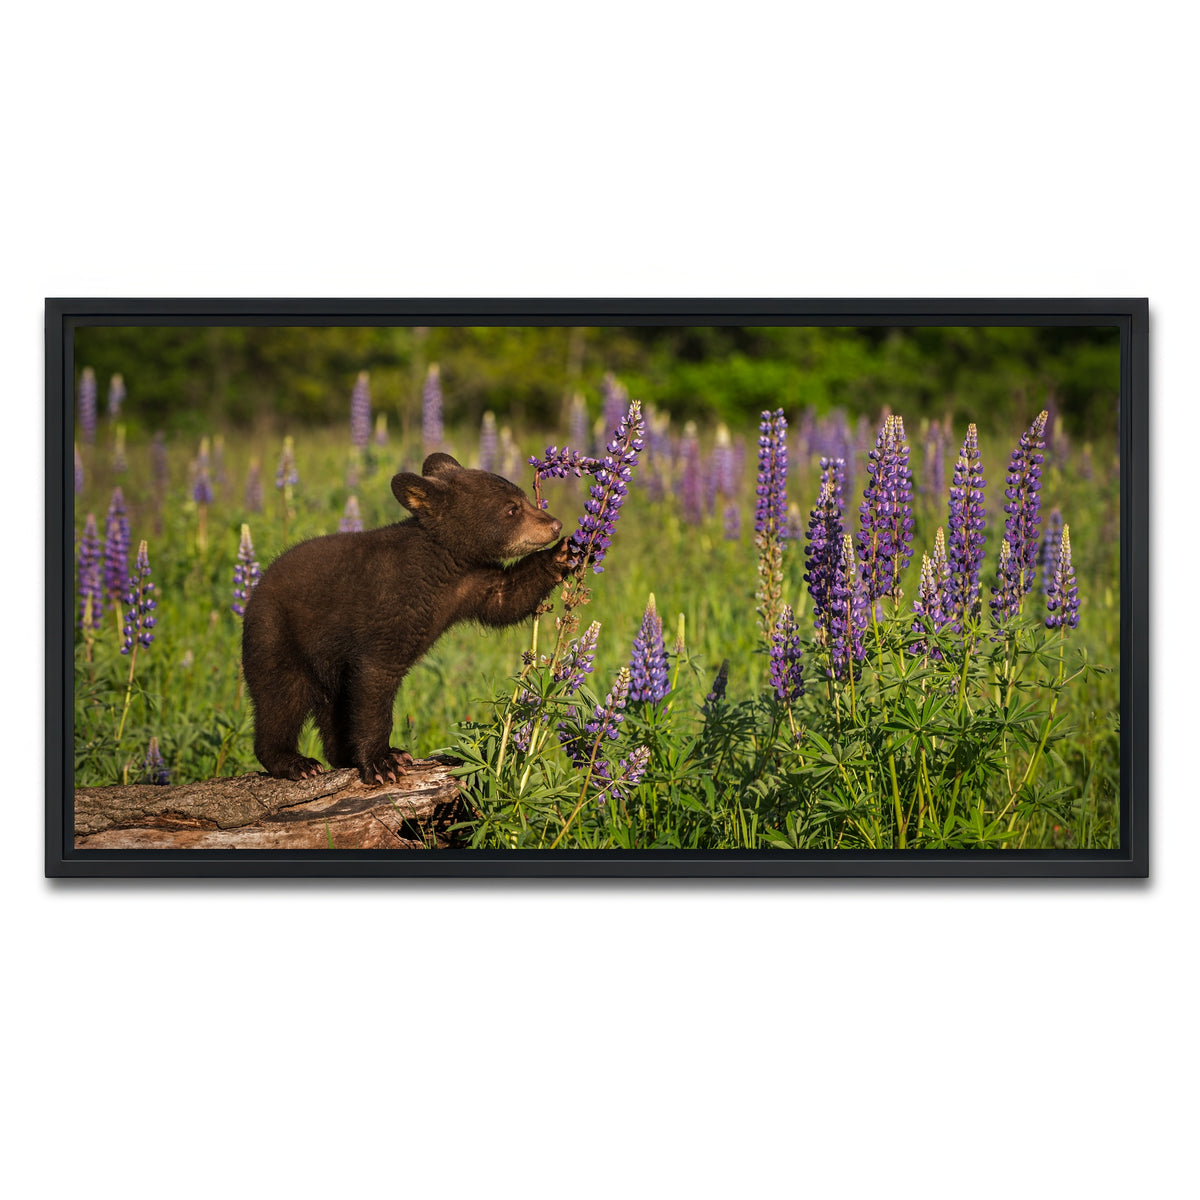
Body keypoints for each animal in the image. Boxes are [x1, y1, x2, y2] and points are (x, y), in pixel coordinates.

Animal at [241, 452, 570, 783]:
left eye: (525, 498)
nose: (555, 524)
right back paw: (295, 762)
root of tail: (254, 593)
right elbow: (375, 681)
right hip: (276, 636)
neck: (442, 564)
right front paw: (383, 762)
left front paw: (564, 554)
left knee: (332, 706)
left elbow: (507, 598)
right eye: (511, 509)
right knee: (281, 698)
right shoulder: (388, 608)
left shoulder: (471, 582)